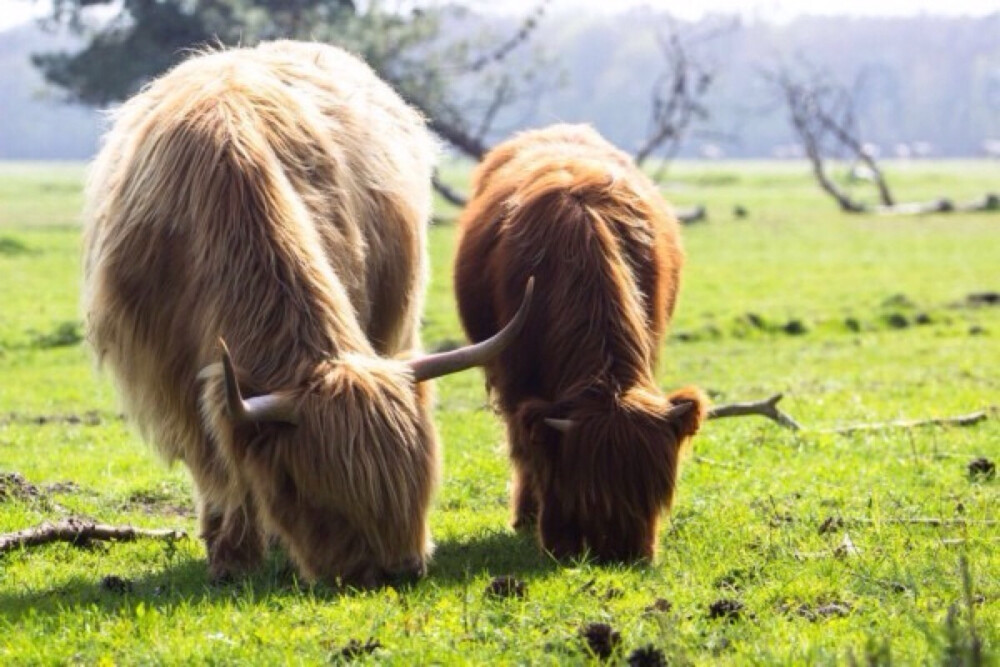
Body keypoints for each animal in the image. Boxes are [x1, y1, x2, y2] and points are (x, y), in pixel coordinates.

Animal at [81, 39, 532, 588]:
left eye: (420, 477)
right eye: (308, 490)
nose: (398, 570)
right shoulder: (169, 378)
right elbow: (215, 463)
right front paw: (230, 556)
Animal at [458, 124, 708, 564]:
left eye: (654, 493)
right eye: (588, 492)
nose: (621, 554)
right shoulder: (516, 377)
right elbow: (528, 448)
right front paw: (537, 524)